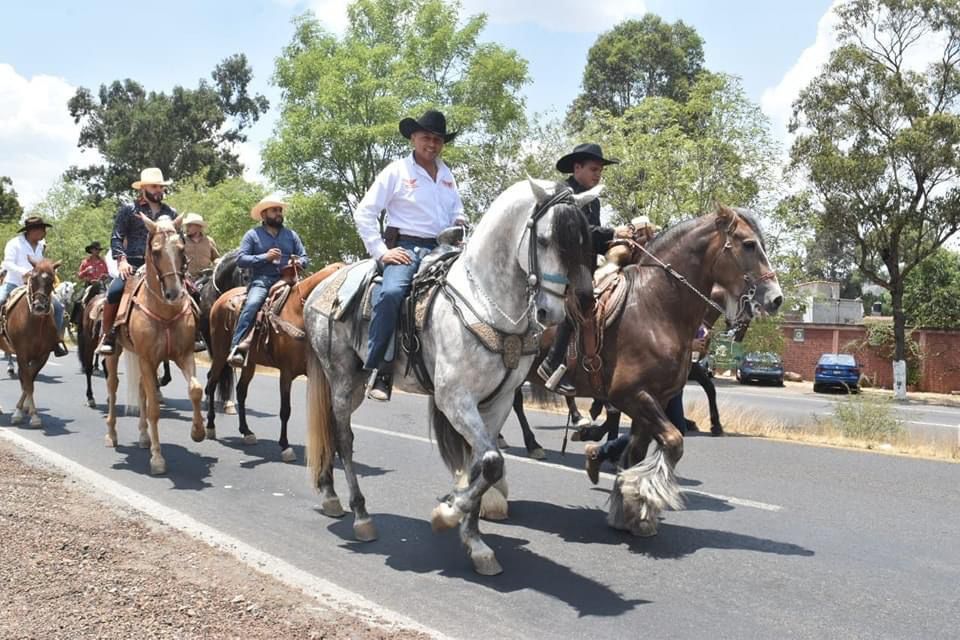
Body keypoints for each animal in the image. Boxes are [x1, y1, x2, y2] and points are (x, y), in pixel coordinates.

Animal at [0, 258, 62, 428]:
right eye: (33, 278)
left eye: (51, 280)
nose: (39, 306)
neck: (35, 324)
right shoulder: (21, 354)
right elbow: (27, 382)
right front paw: (22, 414)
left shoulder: (42, 356)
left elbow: (29, 381)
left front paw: (27, 410)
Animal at [103, 215, 204, 476]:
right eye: (156, 251)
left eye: (181, 249)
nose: (175, 293)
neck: (165, 310)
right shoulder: (148, 360)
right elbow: (154, 410)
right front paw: (157, 459)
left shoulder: (184, 355)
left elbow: (196, 390)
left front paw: (198, 432)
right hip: (116, 355)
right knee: (112, 388)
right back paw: (111, 435)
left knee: (141, 391)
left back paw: (143, 436)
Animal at [204, 262, 346, 460]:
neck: (299, 314)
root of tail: (221, 299)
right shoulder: (286, 373)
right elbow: (285, 410)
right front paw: (285, 446)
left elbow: (328, 411)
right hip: (219, 353)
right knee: (211, 383)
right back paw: (210, 426)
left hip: (249, 362)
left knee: (241, 391)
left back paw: (246, 432)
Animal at [306, 179, 592, 576]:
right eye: (546, 239)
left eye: (581, 243)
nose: (552, 313)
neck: (487, 303)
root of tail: (321, 285)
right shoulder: (454, 399)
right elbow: (492, 462)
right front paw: (448, 512)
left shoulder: (498, 402)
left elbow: (482, 464)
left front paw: (476, 543)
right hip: (343, 381)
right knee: (344, 438)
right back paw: (360, 515)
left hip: (357, 381)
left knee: (334, 435)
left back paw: (331, 496)